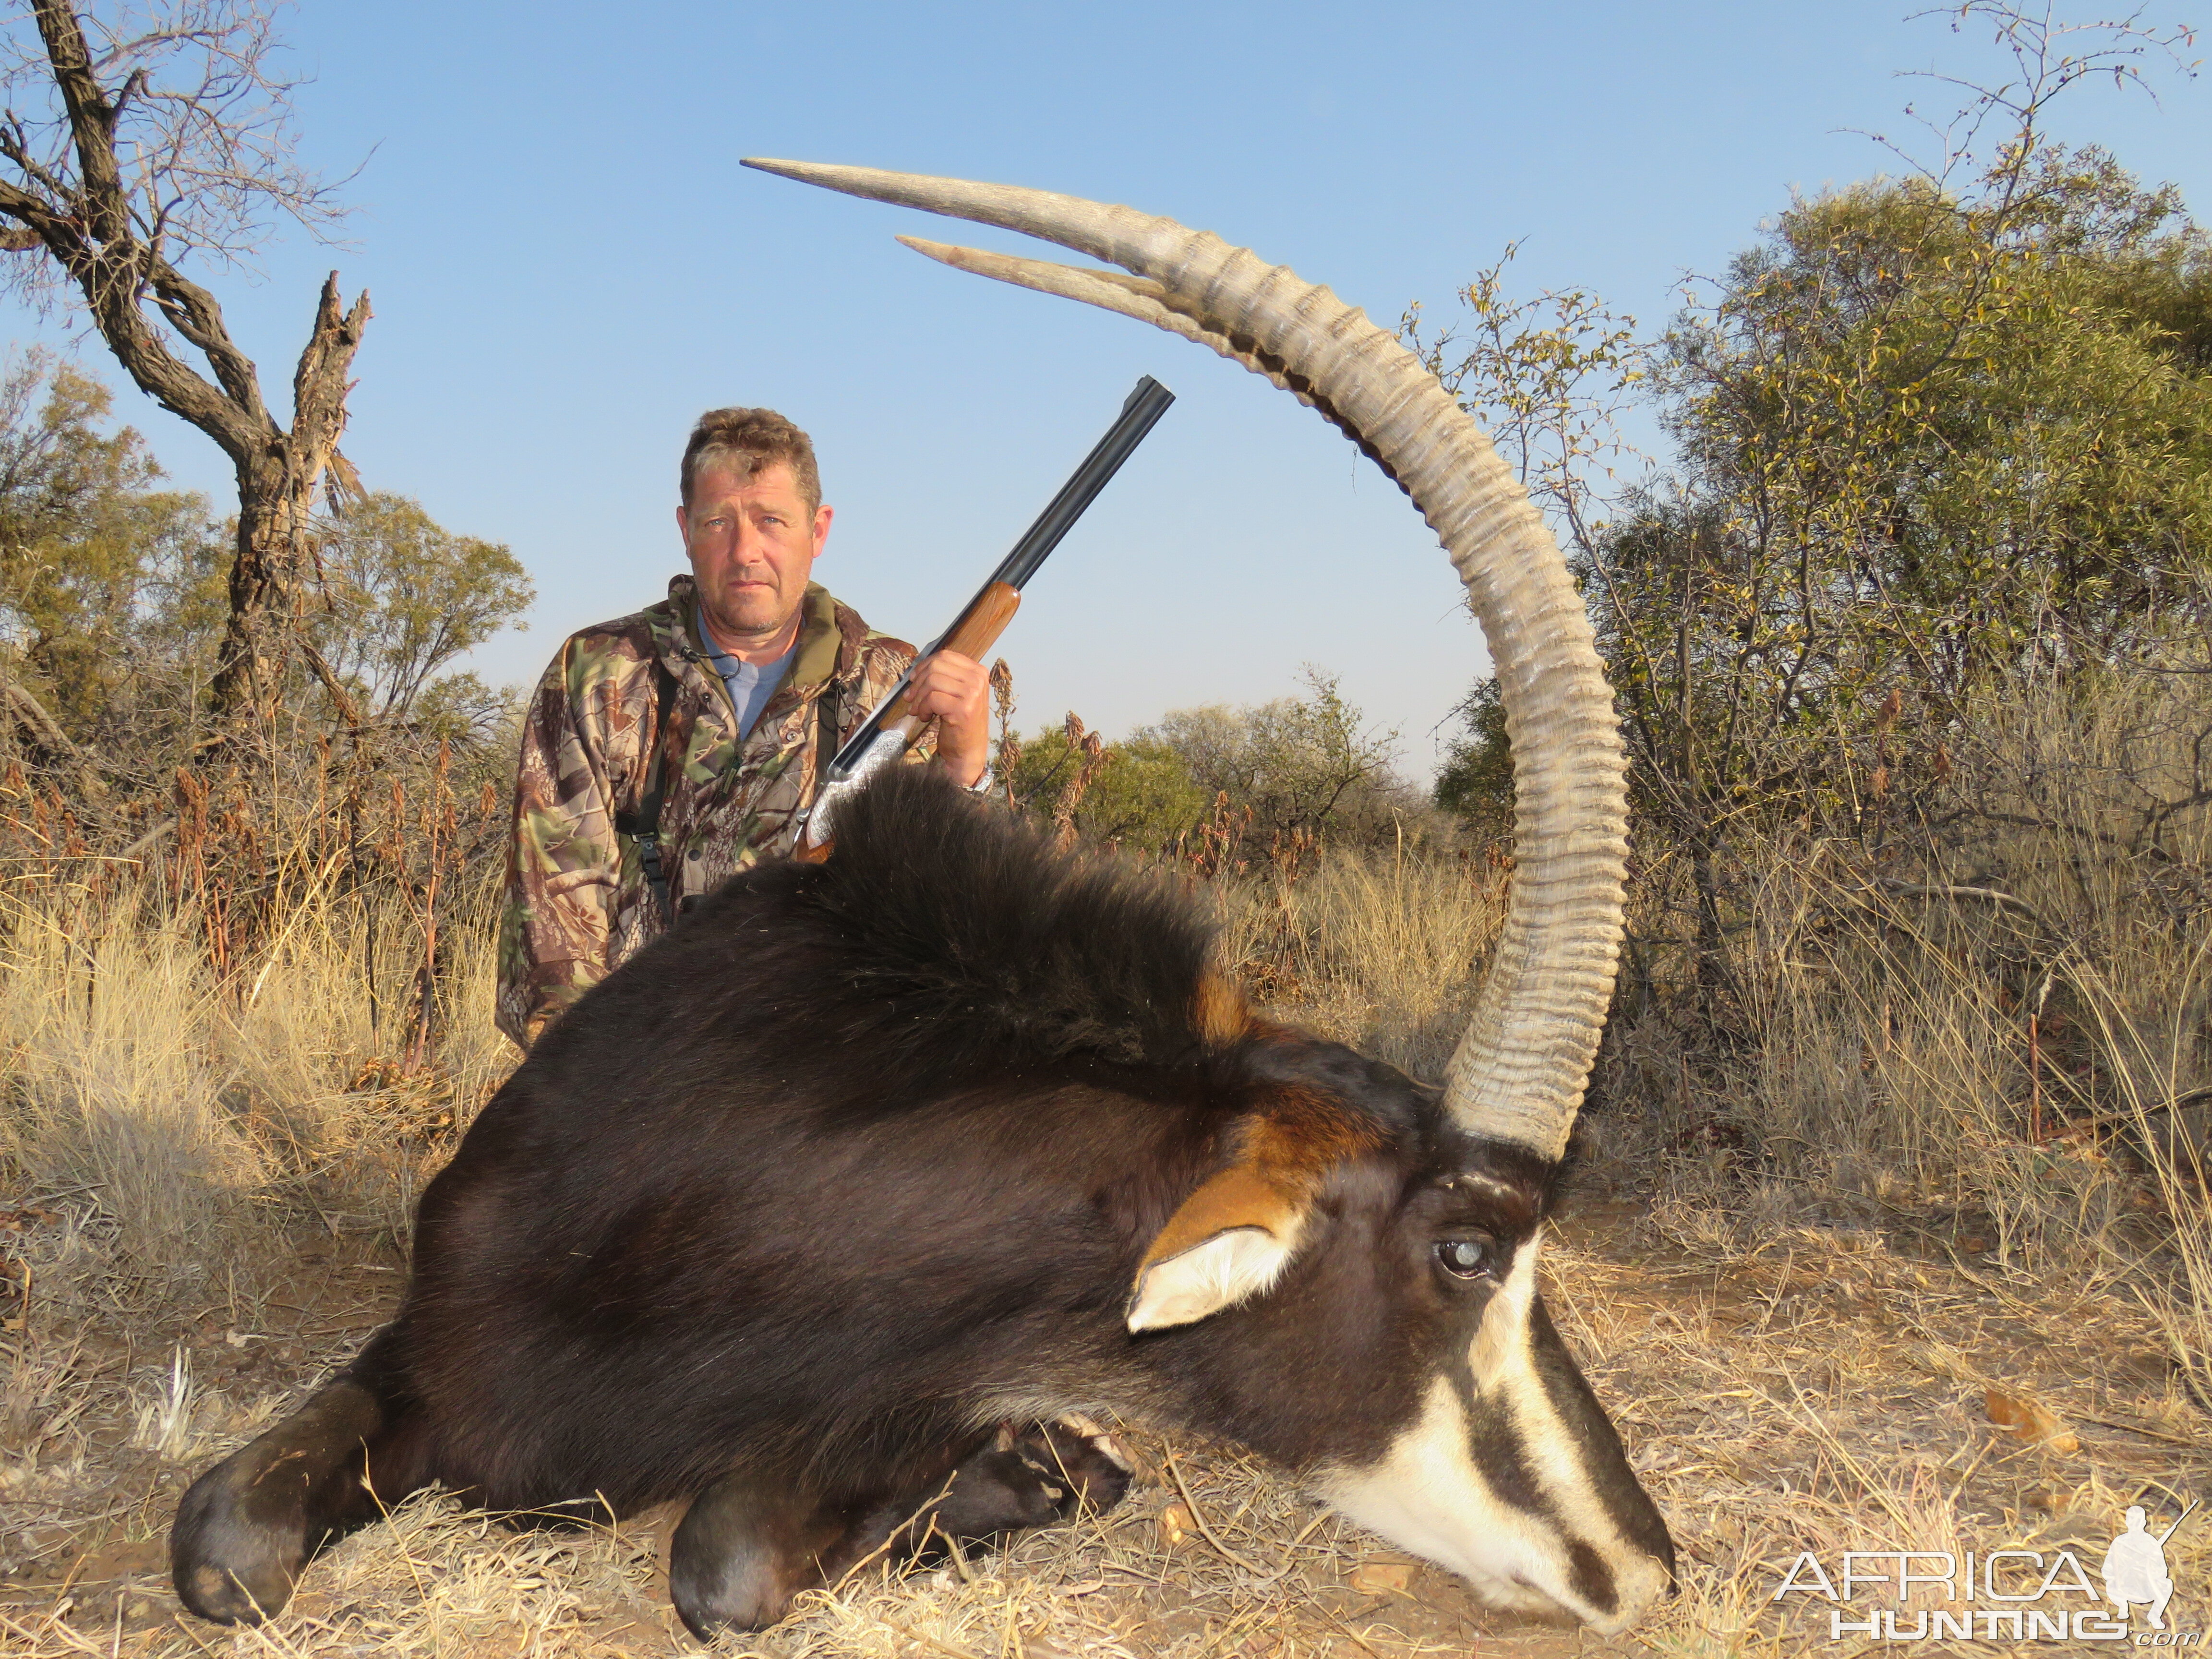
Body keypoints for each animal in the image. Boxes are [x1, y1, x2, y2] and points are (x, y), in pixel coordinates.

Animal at [172, 162, 1672, 1646]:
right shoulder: (433, 1347)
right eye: (1467, 1249)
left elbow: (726, 1554)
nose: (1640, 1565)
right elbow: (224, 1540)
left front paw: (1036, 1466)